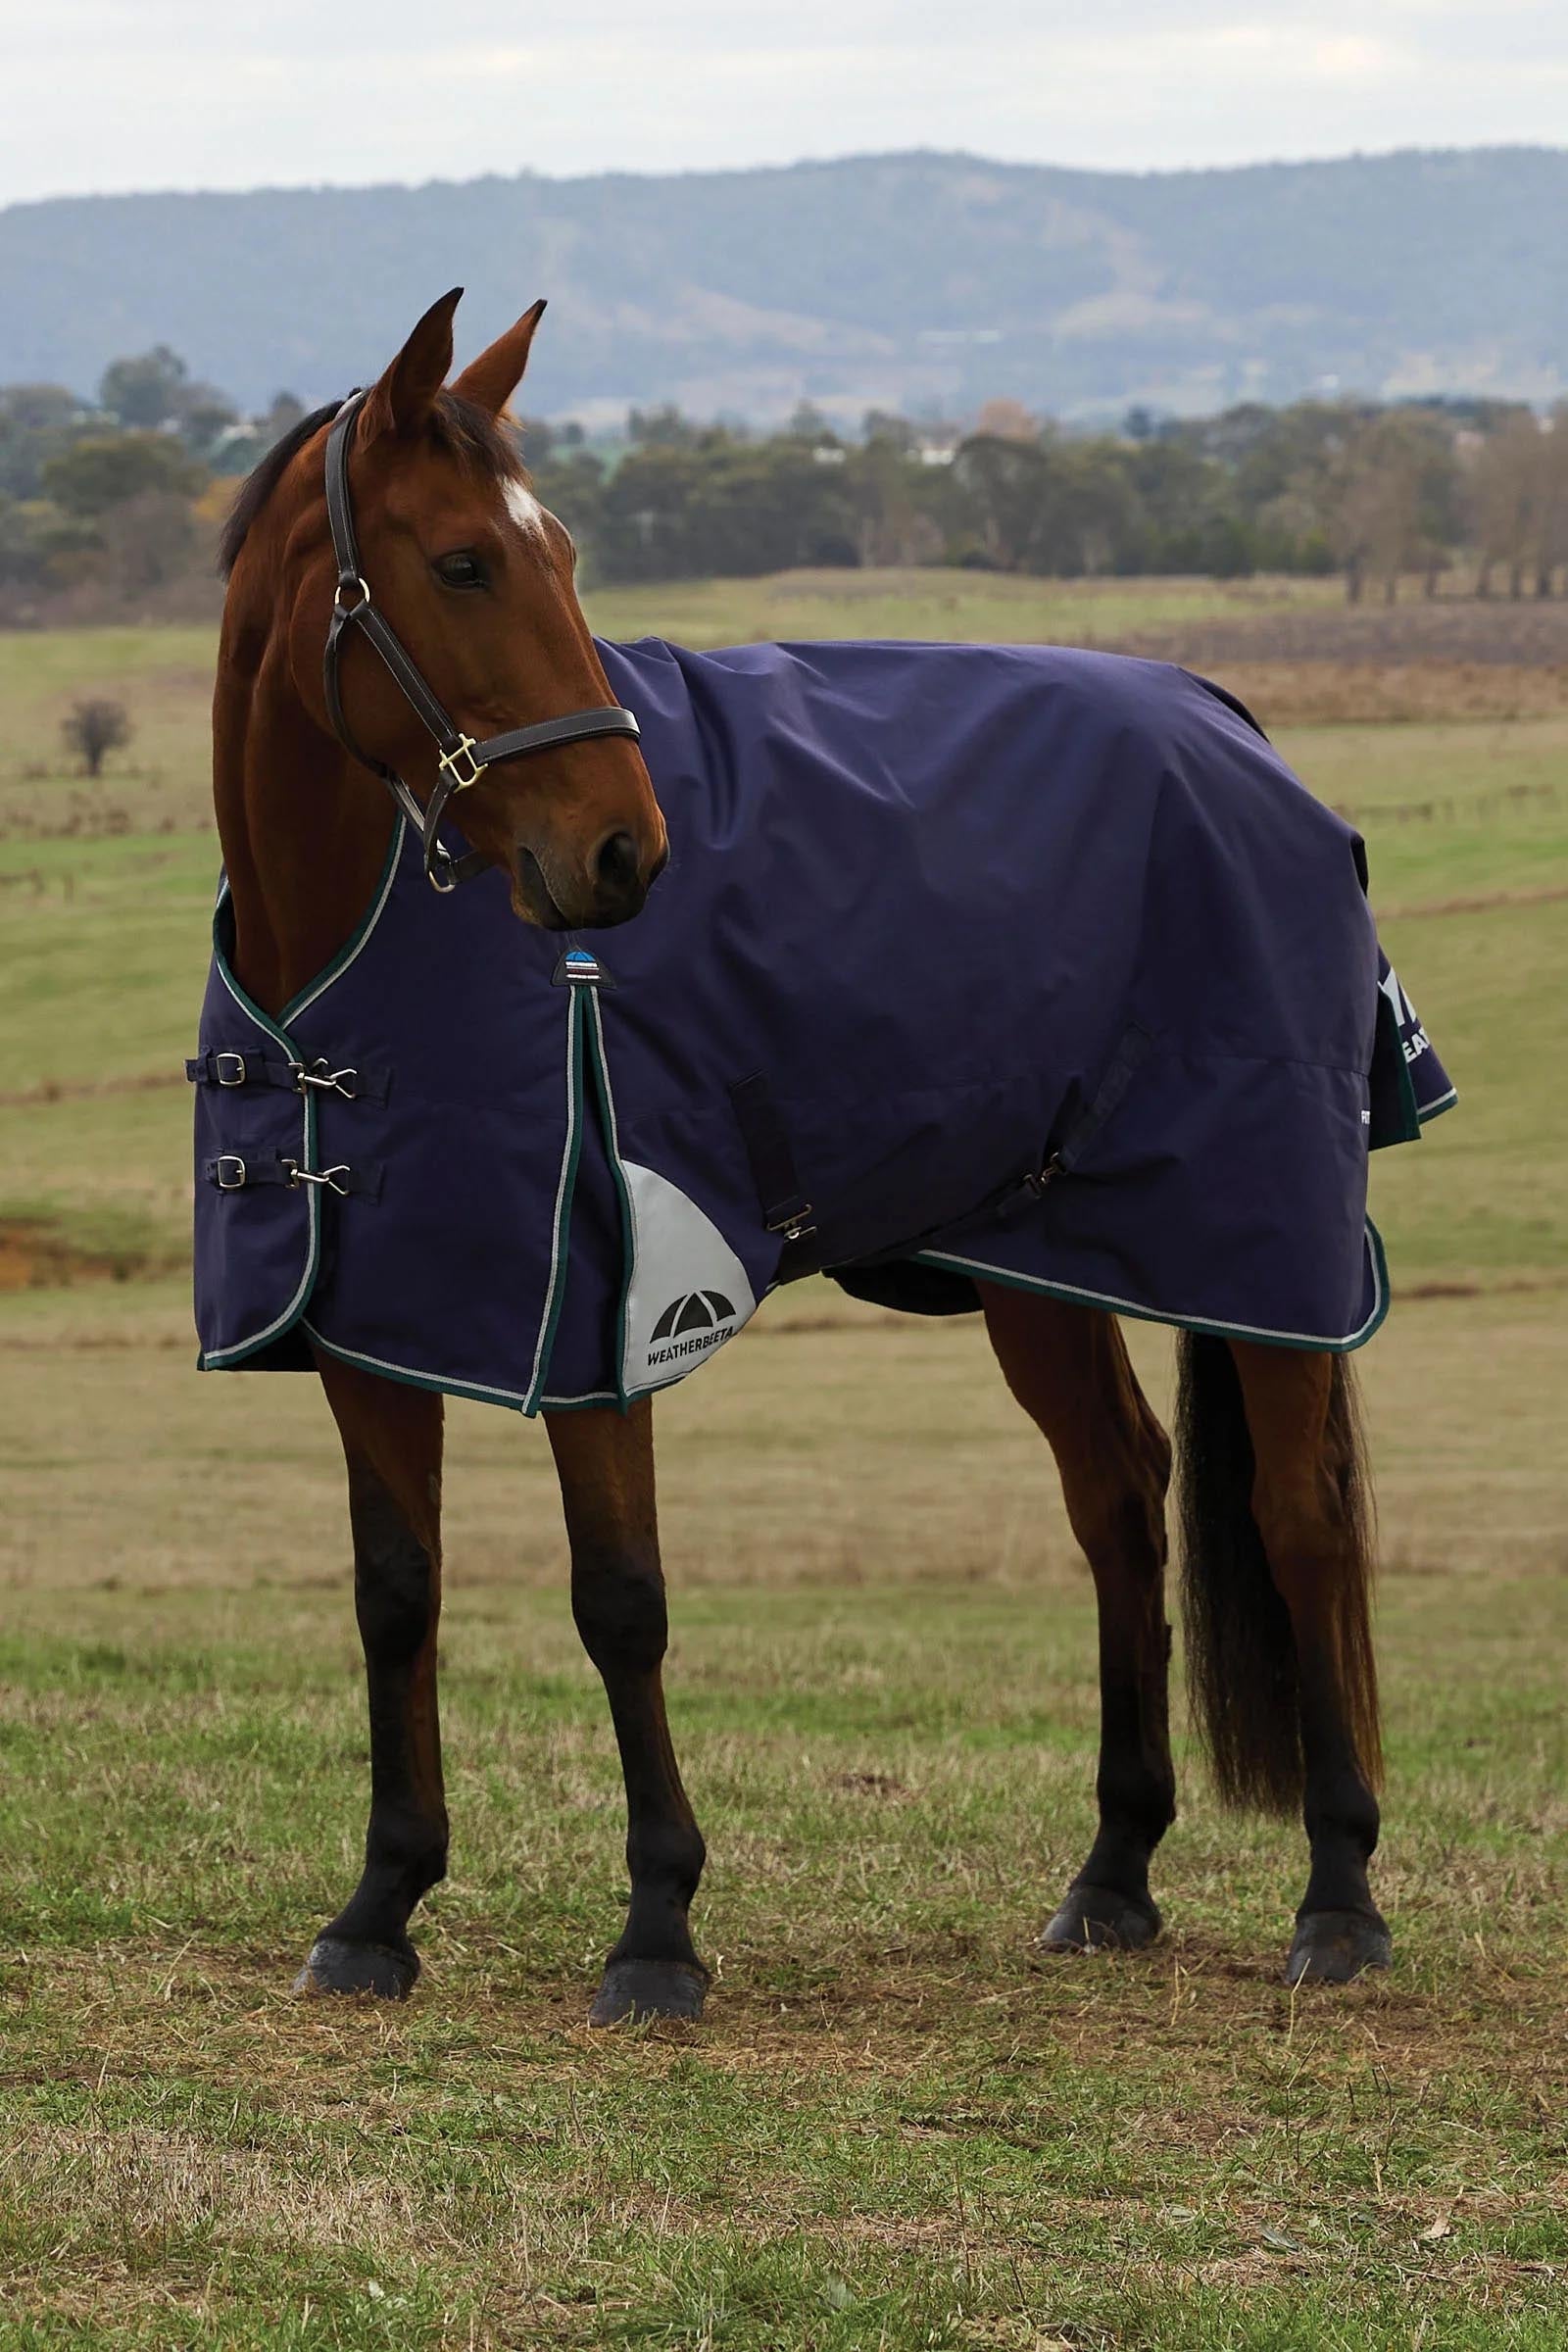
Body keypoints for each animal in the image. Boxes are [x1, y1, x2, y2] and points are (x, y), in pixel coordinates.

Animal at [206, 288, 1394, 2026]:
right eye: (465, 563)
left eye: (563, 553)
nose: (622, 851)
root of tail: (1231, 725)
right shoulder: (376, 1317)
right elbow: (396, 1592)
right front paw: (380, 1907)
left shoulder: (604, 1313)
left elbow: (619, 1599)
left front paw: (656, 1928)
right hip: (1043, 1259)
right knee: (1121, 1500)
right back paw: (1113, 1874)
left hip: (1259, 1241)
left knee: (1298, 1519)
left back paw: (1340, 1898)